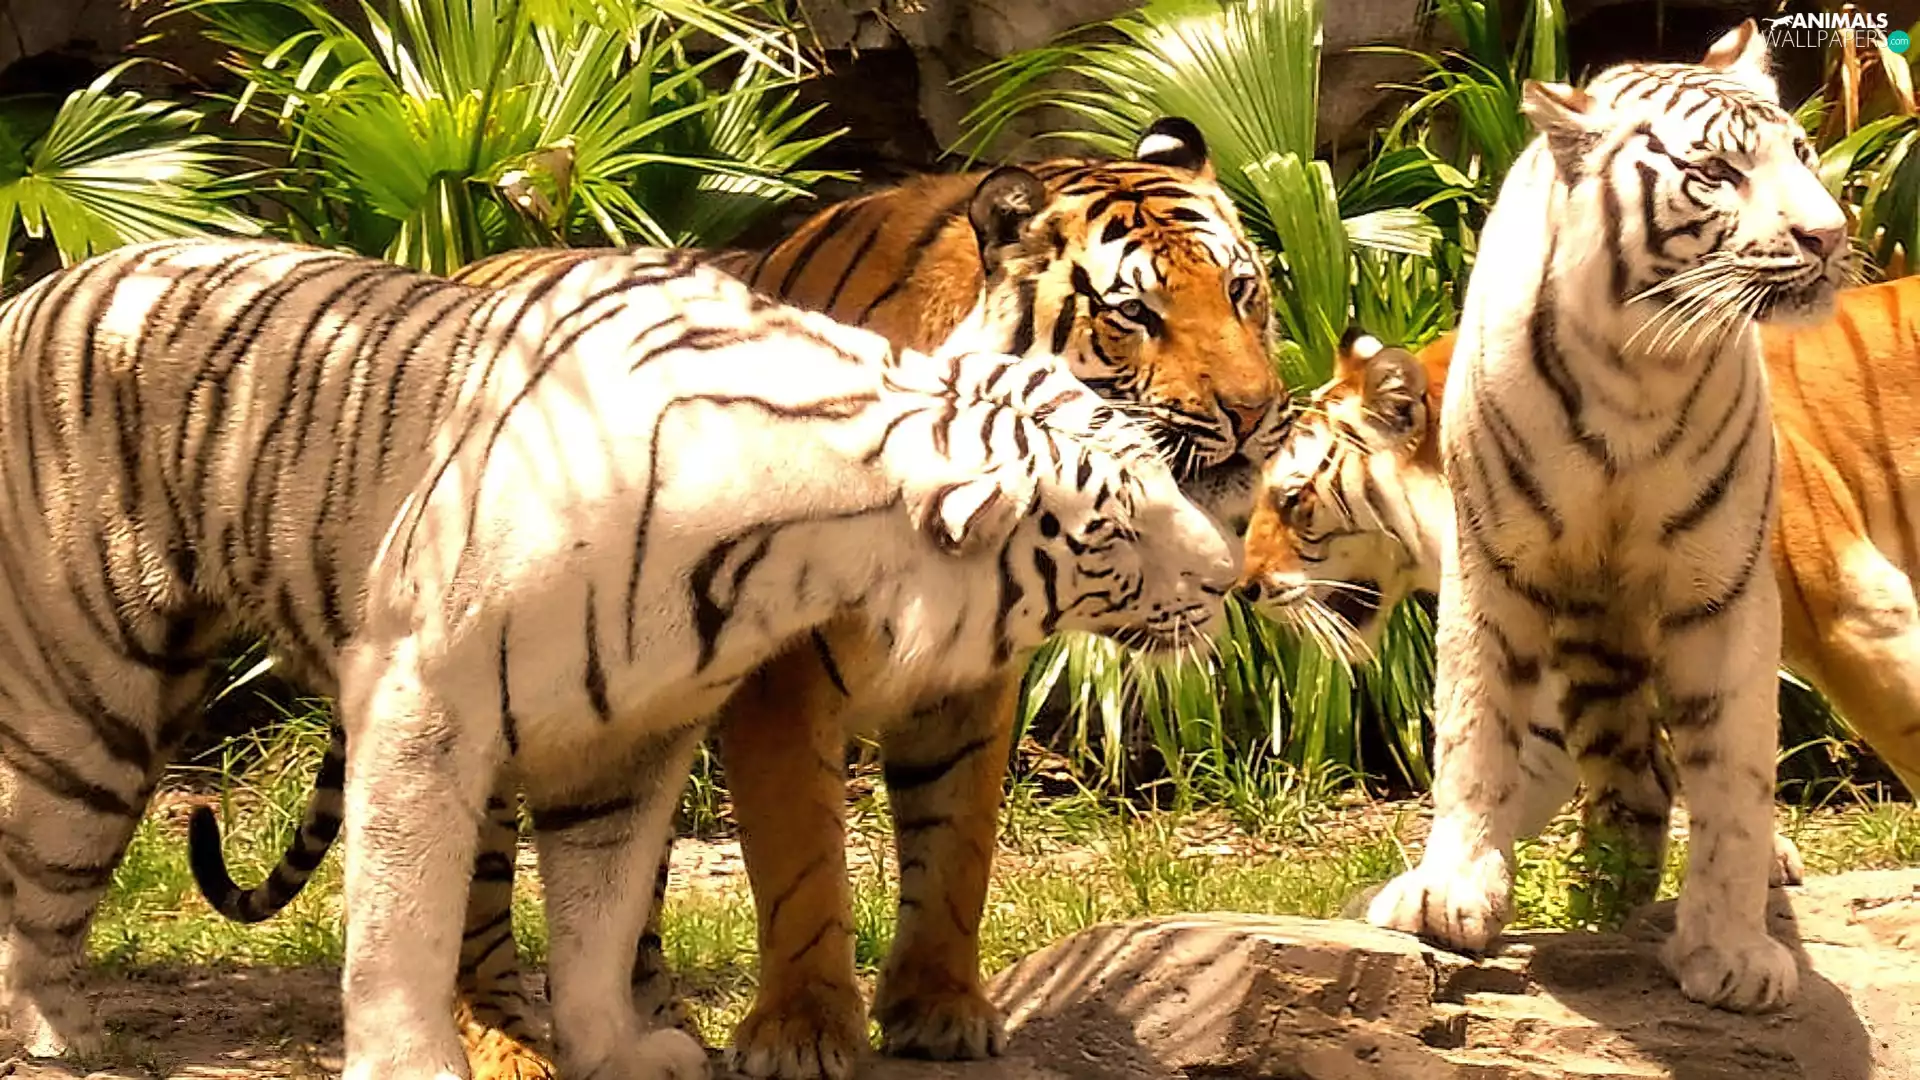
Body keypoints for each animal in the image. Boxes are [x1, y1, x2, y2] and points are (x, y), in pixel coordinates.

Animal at [189, 116, 1287, 1080]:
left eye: (1244, 292)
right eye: (1134, 313)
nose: (1256, 412)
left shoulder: (972, 686)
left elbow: (956, 847)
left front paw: (939, 1010)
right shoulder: (780, 677)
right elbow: (802, 859)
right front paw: (805, 1031)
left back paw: (652, 1020)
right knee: (475, 897)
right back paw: (504, 1041)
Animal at [1286, 20, 1849, 1014]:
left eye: (1804, 154)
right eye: (1715, 171)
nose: (1829, 234)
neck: (1642, 371)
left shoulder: (1724, 584)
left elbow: (1733, 771)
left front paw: (1732, 948)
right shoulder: (1495, 568)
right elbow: (1474, 731)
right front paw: (1450, 895)